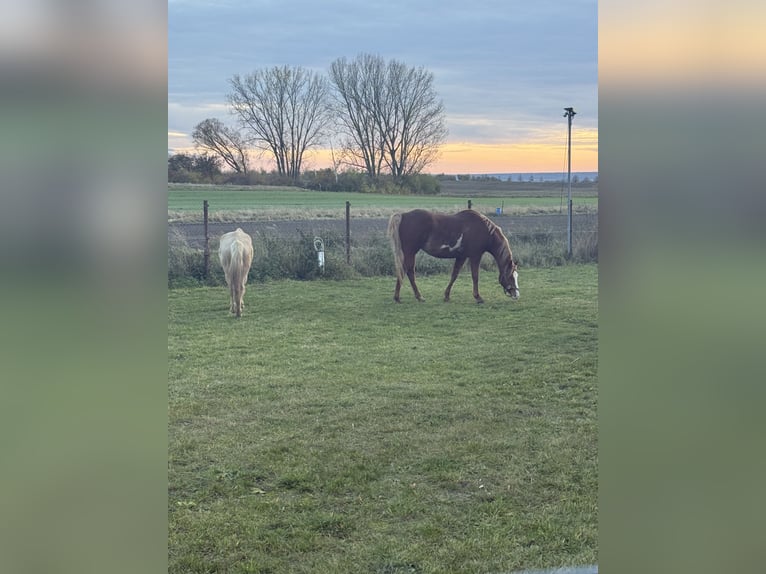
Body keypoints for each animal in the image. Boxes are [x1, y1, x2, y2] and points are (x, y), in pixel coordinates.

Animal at [387, 209, 519, 304]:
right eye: (510, 276)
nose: (516, 295)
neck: (484, 230)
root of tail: (403, 215)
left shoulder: (462, 257)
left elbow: (454, 275)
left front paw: (446, 296)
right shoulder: (475, 256)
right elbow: (475, 276)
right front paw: (478, 297)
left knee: (403, 271)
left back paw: (397, 297)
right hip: (410, 252)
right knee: (409, 272)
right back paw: (418, 296)